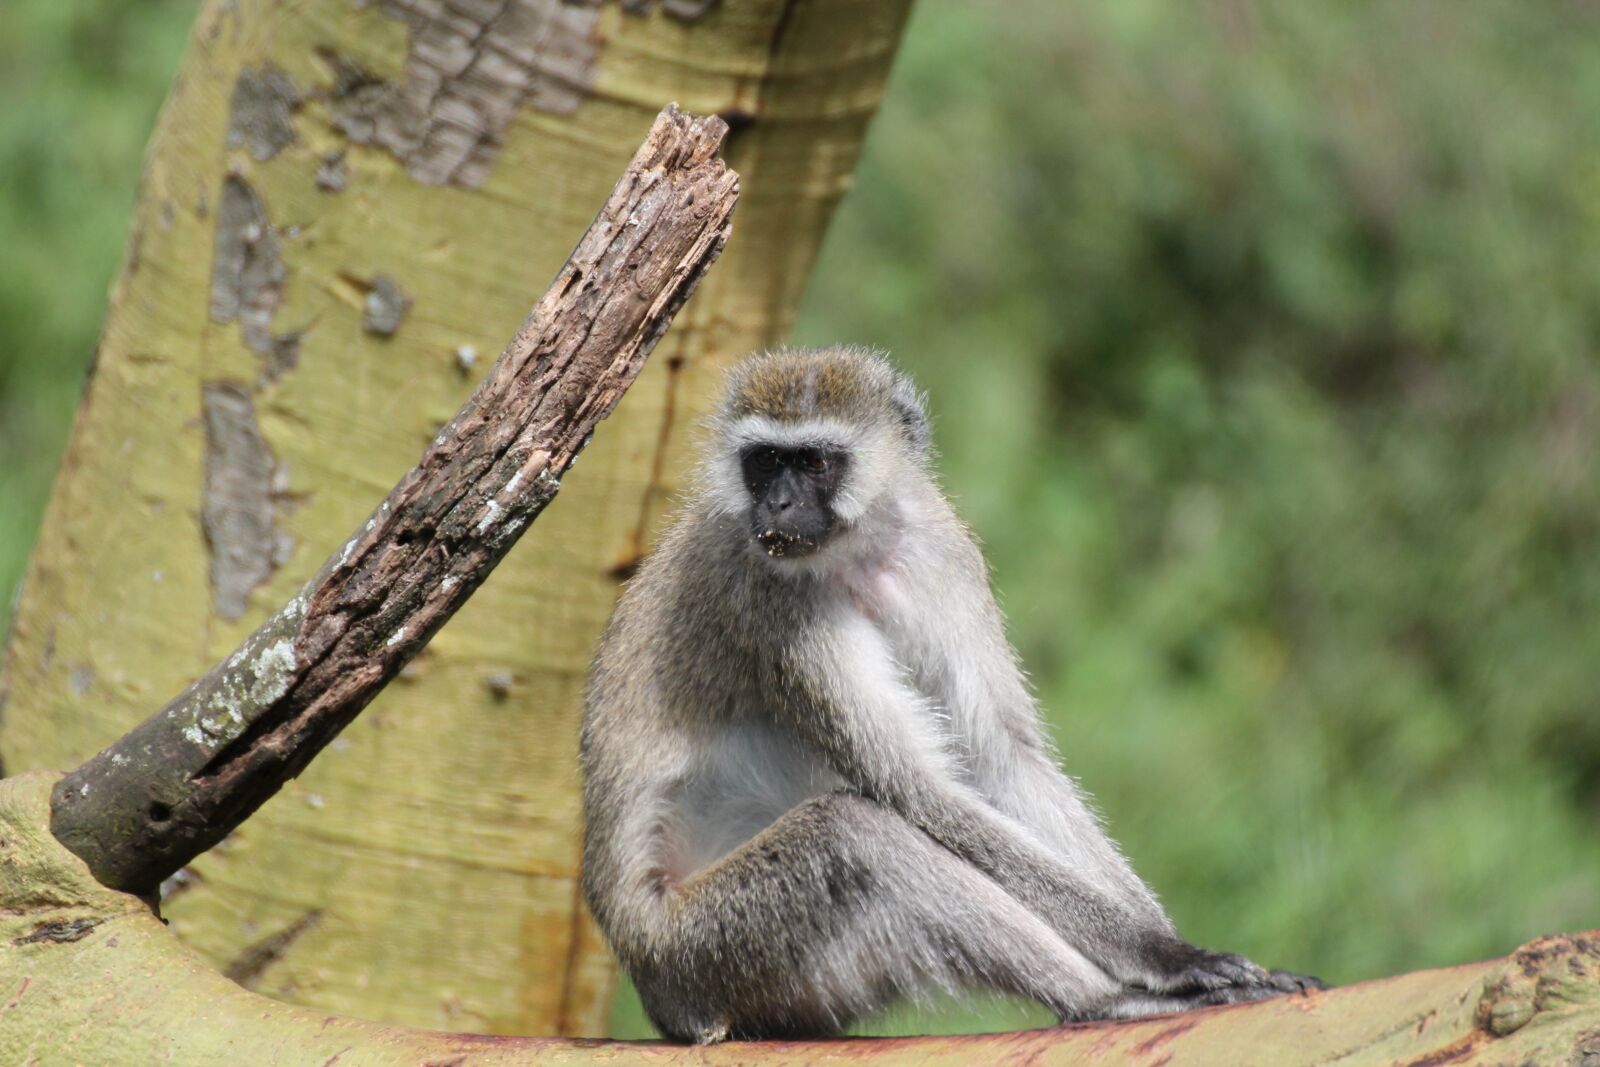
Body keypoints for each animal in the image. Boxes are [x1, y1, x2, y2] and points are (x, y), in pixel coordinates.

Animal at [580, 346, 1320, 1043]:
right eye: (764, 463)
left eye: (813, 462)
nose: (776, 506)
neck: (858, 551)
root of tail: (655, 990)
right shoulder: (767, 598)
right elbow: (918, 787)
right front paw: (1164, 956)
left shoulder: (941, 549)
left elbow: (1001, 754)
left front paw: (1167, 939)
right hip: (705, 949)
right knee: (858, 837)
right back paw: (1104, 1001)